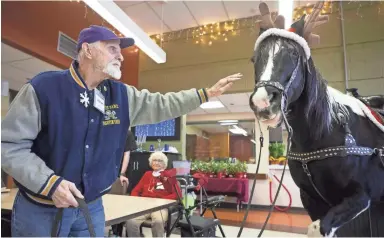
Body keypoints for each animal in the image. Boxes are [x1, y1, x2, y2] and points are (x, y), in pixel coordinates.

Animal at [249, 16, 384, 236]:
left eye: (294, 54)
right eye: (254, 59)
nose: (263, 101)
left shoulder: (362, 196)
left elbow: (318, 229)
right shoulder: (310, 199)